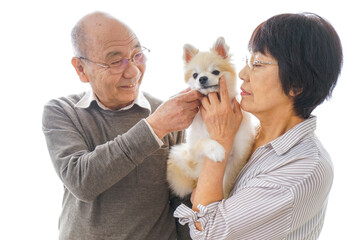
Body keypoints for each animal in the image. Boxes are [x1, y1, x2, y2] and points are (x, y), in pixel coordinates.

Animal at [167, 37, 256, 199]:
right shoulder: (193, 149)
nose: (202, 78)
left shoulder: (239, 155)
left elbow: (226, 184)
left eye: (215, 72)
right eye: (195, 75)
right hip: (178, 159)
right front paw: (217, 150)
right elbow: (203, 142)